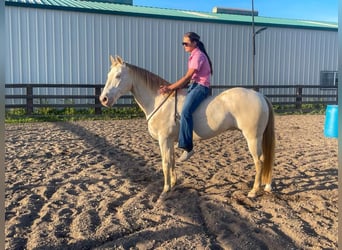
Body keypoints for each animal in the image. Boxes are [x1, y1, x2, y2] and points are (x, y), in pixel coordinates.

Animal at [99, 55, 276, 198]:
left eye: (118, 75)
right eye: (108, 75)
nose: (103, 99)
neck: (159, 101)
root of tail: (259, 95)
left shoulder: (163, 140)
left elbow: (165, 163)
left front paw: (165, 191)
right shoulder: (170, 140)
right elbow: (171, 161)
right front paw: (173, 185)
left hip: (253, 137)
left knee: (259, 161)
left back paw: (254, 191)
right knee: (266, 160)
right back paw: (267, 186)